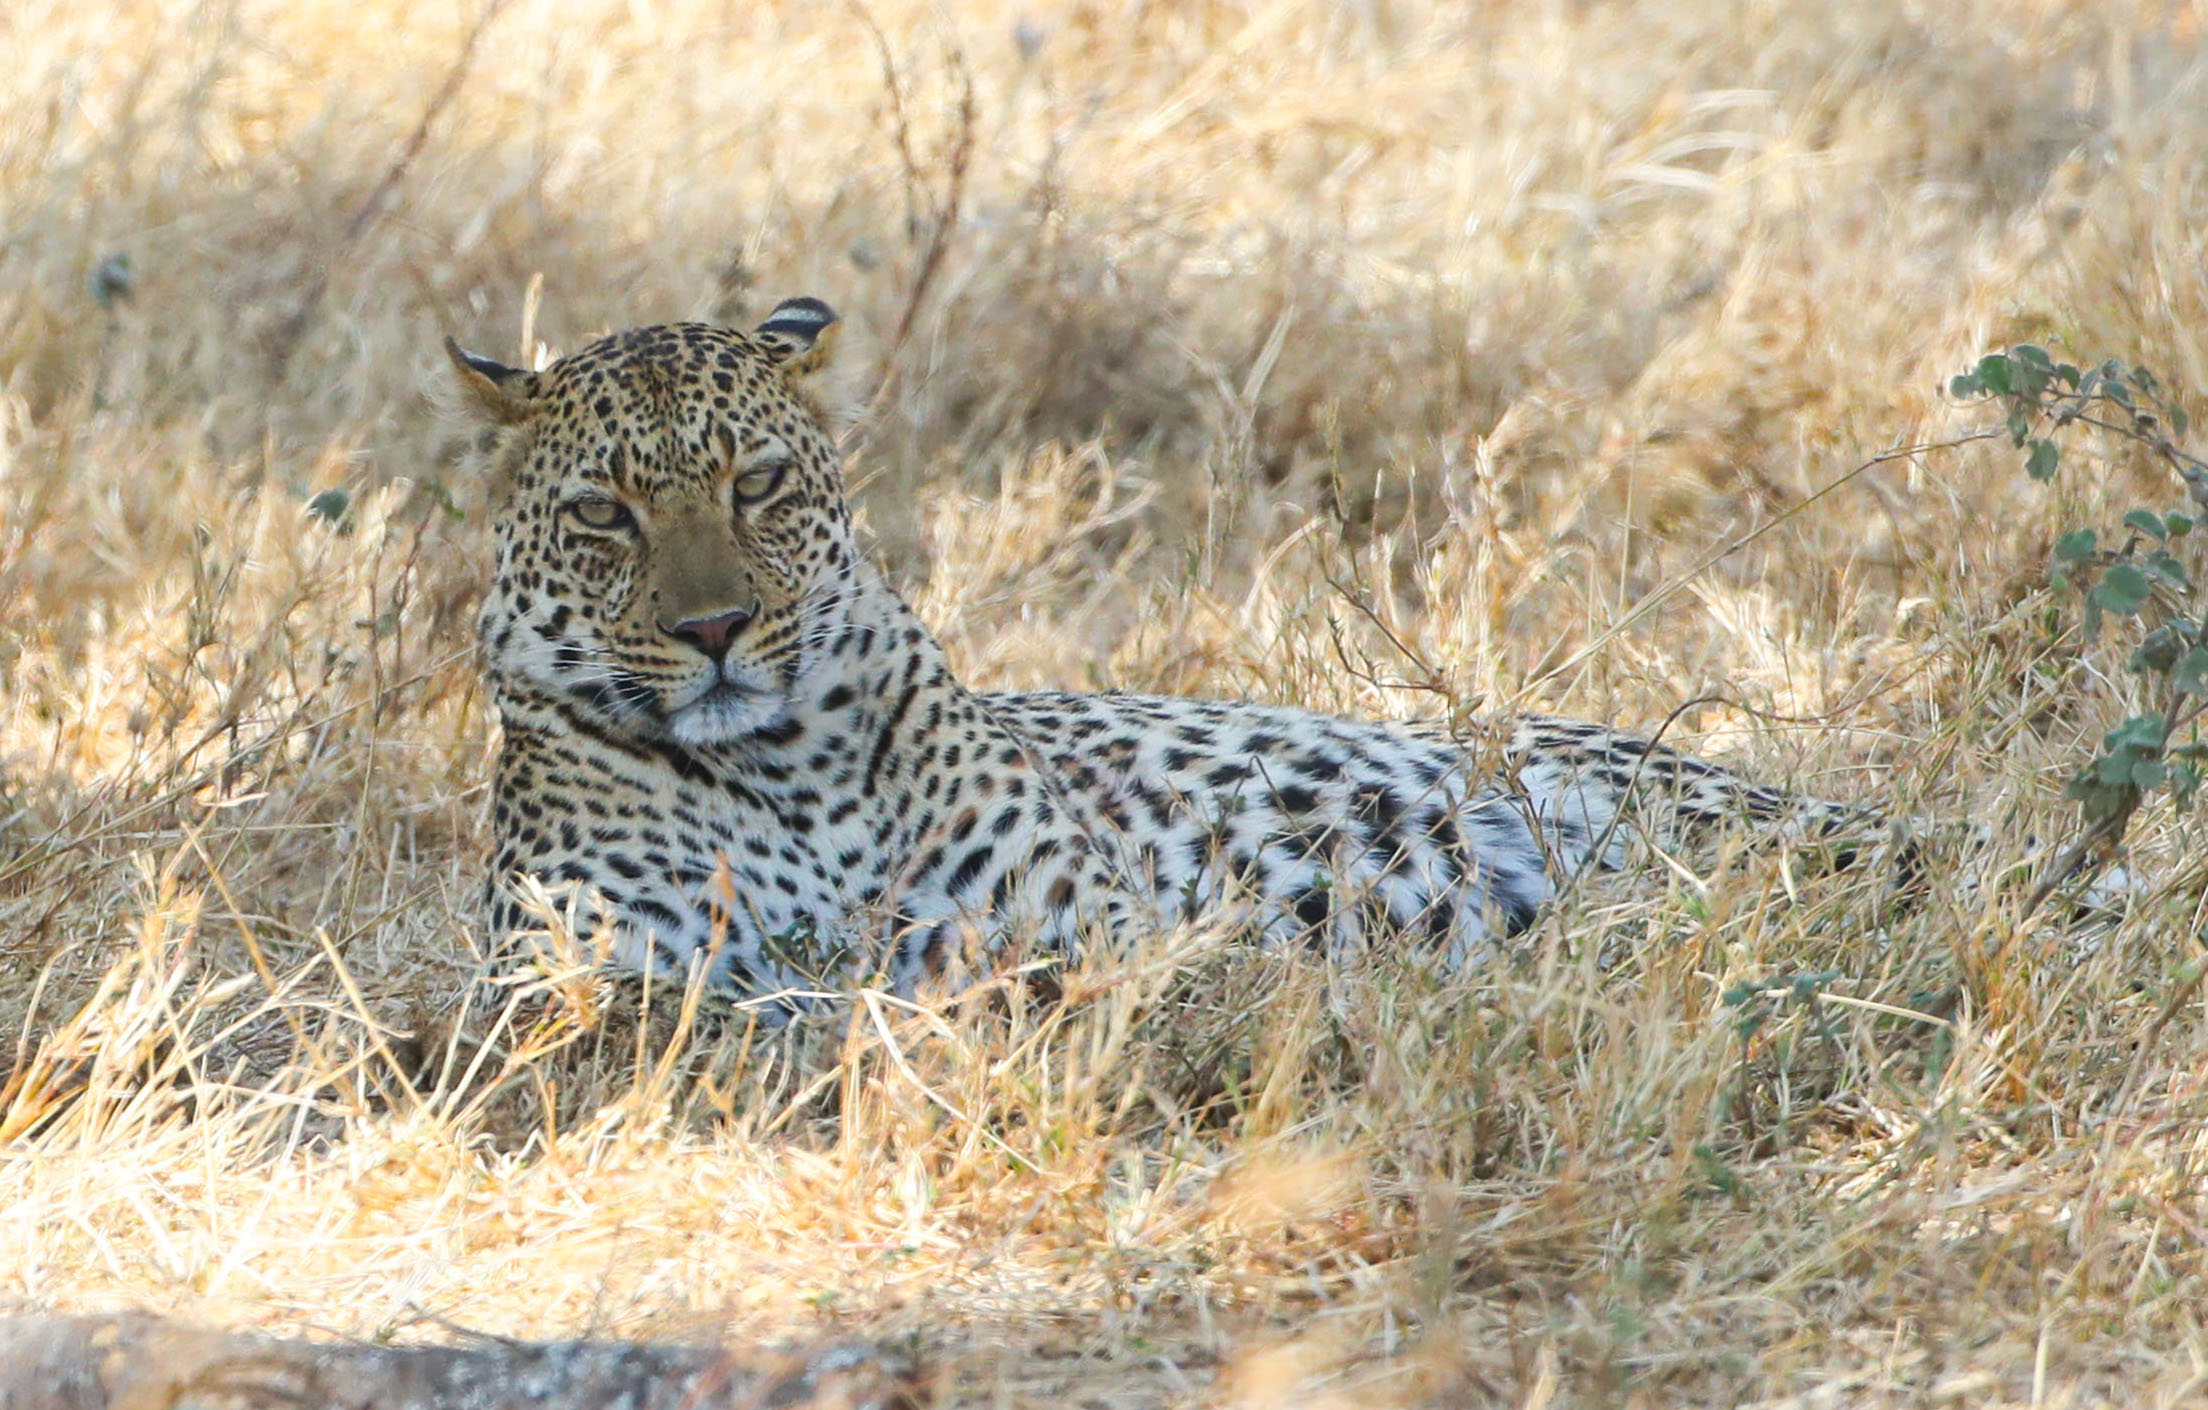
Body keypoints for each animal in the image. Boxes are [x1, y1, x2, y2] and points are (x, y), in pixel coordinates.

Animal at [444, 298, 1891, 1016]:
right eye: (603, 515)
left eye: (757, 485)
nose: (713, 632)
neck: (784, 767)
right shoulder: (596, 978)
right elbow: (755, 1011)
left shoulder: (1082, 924)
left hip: (1703, 809)